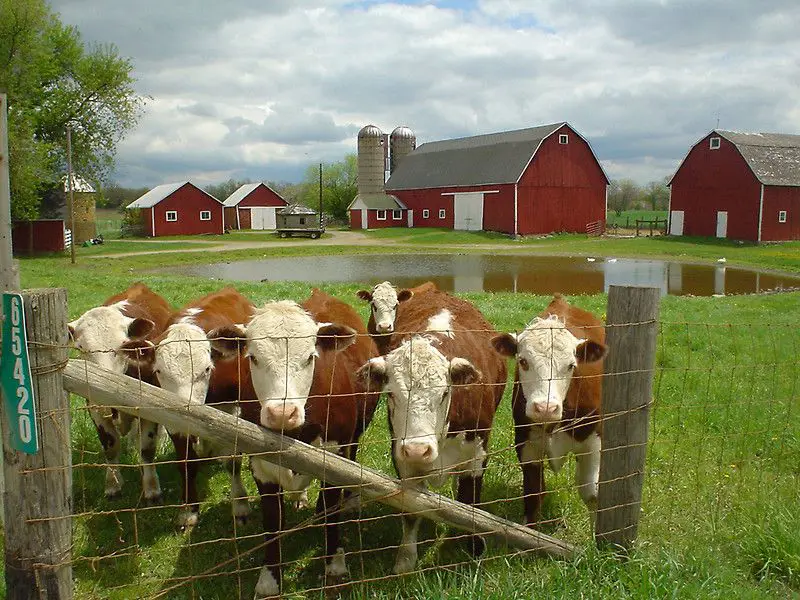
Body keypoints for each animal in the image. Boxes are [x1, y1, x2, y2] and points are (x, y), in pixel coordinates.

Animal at [70, 282, 173, 502]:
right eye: (81, 348)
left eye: (123, 346)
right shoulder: (95, 409)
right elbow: (110, 446)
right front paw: (113, 484)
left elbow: (147, 448)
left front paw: (152, 489)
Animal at [120, 288, 258, 528]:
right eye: (158, 371)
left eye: (206, 369)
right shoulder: (172, 420)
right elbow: (186, 462)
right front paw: (188, 510)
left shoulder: (232, 407)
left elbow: (232, 461)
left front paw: (240, 506)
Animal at [209, 288, 378, 596]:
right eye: (252, 358)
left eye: (310, 357)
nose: (282, 413)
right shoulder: (261, 465)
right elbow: (273, 522)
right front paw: (269, 579)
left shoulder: (334, 453)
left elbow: (330, 513)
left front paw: (335, 564)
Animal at [358, 288, 506, 576]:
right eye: (391, 394)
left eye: (445, 393)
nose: (418, 449)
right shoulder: (403, 460)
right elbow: (411, 511)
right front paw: (405, 560)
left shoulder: (477, 454)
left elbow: (471, 503)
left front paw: (474, 549)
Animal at [488, 294, 608, 524]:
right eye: (523, 361)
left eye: (571, 365)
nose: (545, 408)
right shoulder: (526, 444)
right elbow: (534, 494)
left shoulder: (594, 441)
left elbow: (592, 494)